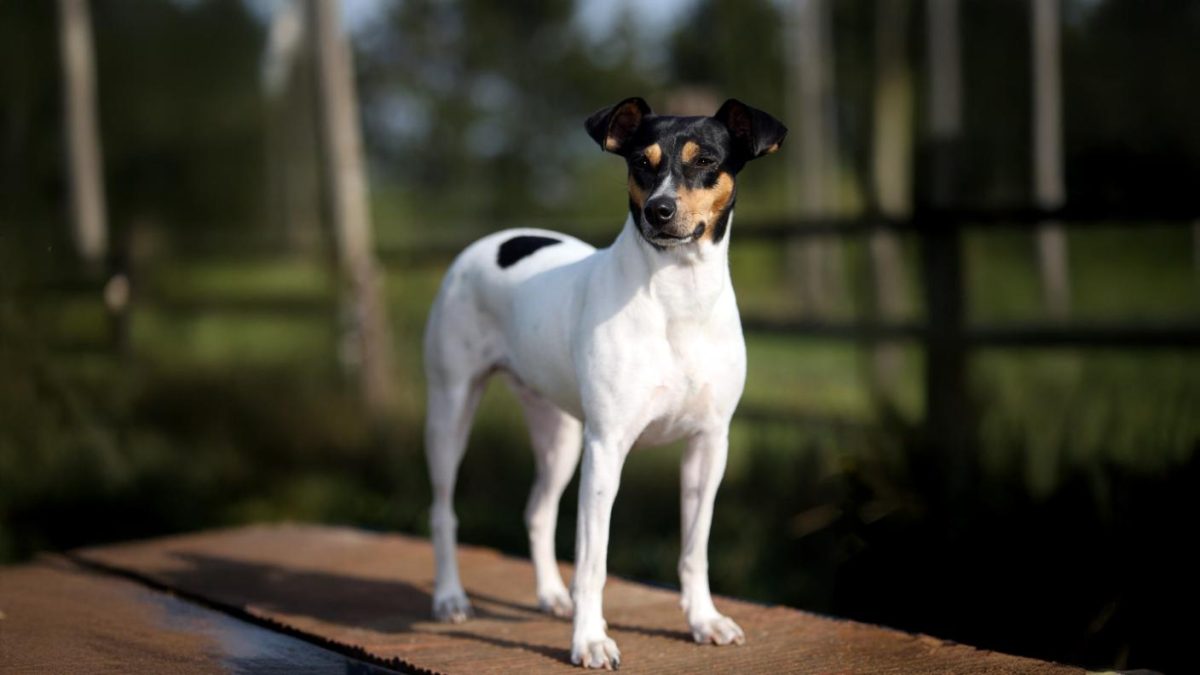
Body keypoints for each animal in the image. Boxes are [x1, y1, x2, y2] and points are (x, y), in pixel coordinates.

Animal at [422, 96, 787, 667]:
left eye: (706, 160)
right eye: (641, 162)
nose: (659, 210)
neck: (678, 298)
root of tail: (490, 241)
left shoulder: (709, 446)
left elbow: (694, 549)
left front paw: (703, 620)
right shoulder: (607, 449)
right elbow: (594, 563)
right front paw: (590, 639)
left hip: (560, 435)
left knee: (538, 510)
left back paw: (552, 594)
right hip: (451, 413)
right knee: (443, 512)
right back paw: (451, 597)